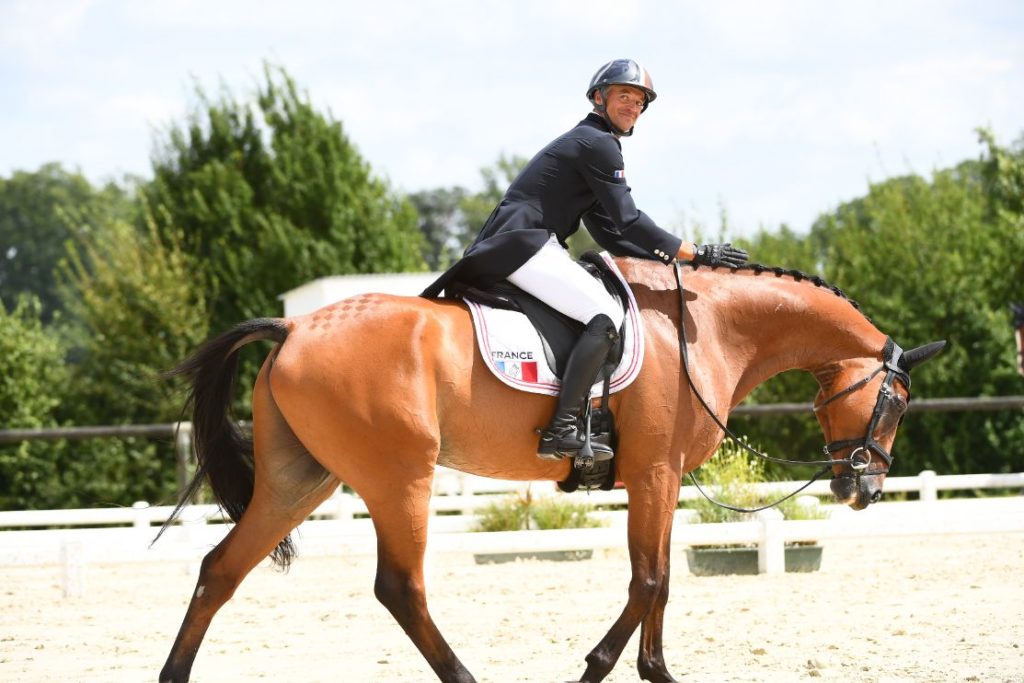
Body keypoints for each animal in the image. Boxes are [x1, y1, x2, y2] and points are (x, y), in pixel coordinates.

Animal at [157, 258, 942, 683]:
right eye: (898, 401)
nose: (865, 488)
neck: (702, 327)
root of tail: (294, 326)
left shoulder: (659, 480)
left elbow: (661, 579)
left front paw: (657, 671)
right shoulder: (652, 474)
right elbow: (648, 580)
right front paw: (596, 665)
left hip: (302, 478)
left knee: (220, 569)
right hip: (399, 477)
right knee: (400, 588)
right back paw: (466, 675)